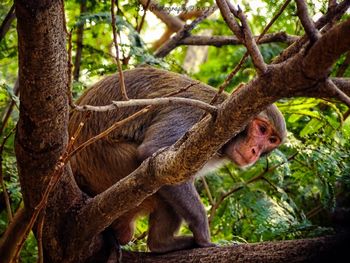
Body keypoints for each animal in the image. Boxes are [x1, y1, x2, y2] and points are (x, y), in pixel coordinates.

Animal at [69, 66, 288, 254]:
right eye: (261, 128)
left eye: (271, 140)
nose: (255, 151)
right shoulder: (193, 115)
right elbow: (153, 153)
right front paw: (203, 235)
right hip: (109, 166)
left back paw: (159, 243)